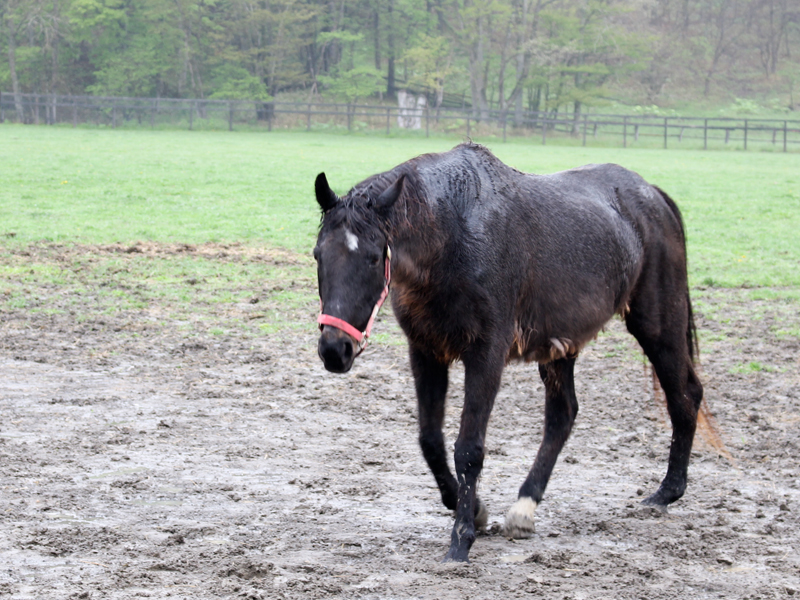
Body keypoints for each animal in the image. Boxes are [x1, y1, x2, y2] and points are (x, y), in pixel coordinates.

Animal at [312, 143, 703, 563]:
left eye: (373, 257)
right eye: (318, 254)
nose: (335, 349)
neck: (453, 233)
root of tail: (651, 195)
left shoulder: (487, 353)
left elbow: (468, 449)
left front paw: (461, 539)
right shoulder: (426, 351)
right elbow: (430, 440)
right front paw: (474, 509)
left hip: (657, 326)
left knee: (684, 396)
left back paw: (666, 492)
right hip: (561, 345)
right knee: (562, 415)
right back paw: (524, 508)